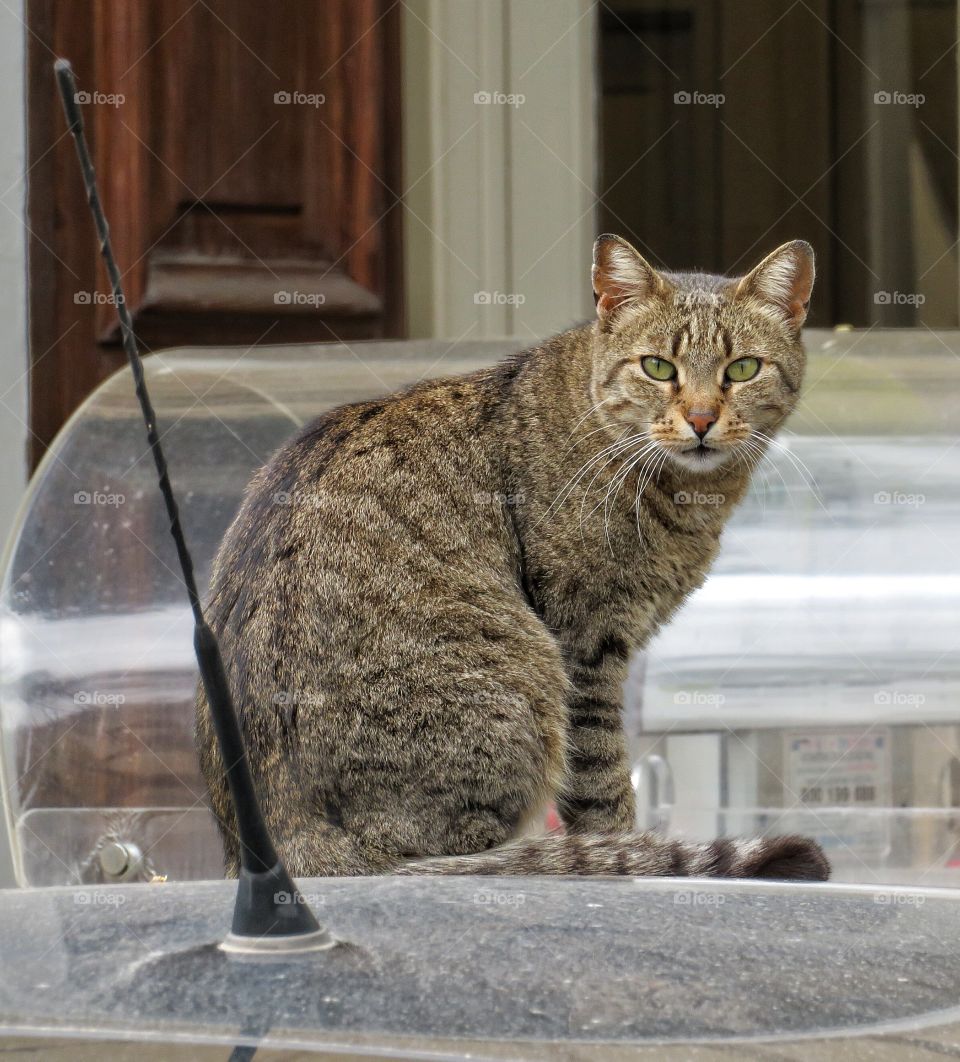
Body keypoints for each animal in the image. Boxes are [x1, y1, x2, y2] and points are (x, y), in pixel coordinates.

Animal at [193, 236, 824, 883]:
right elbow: (602, 786)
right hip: (529, 679)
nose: (701, 420)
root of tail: (286, 840)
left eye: (742, 369)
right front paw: (628, 848)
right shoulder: (586, 641)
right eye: (658, 368)